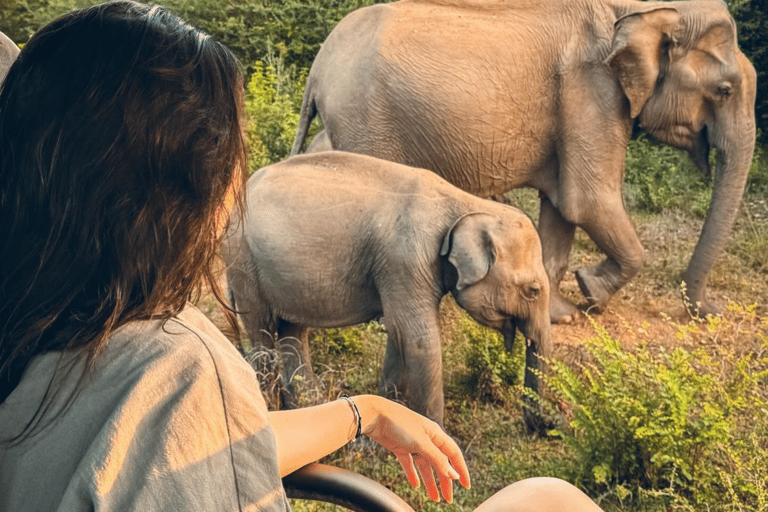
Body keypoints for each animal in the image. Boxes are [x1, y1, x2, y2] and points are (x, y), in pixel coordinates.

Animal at [224, 152, 552, 428]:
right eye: (533, 290)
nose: (545, 427)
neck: (468, 204)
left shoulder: (401, 271)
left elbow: (398, 336)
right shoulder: (404, 261)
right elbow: (419, 341)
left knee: (293, 330)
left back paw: (308, 407)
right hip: (243, 259)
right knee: (262, 331)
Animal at [292, 0, 756, 322]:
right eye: (725, 90)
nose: (713, 311)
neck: (641, 9)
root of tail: (318, 66)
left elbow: (563, 206)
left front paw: (562, 314)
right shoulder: (592, 91)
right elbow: (589, 200)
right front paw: (590, 293)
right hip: (366, 121)